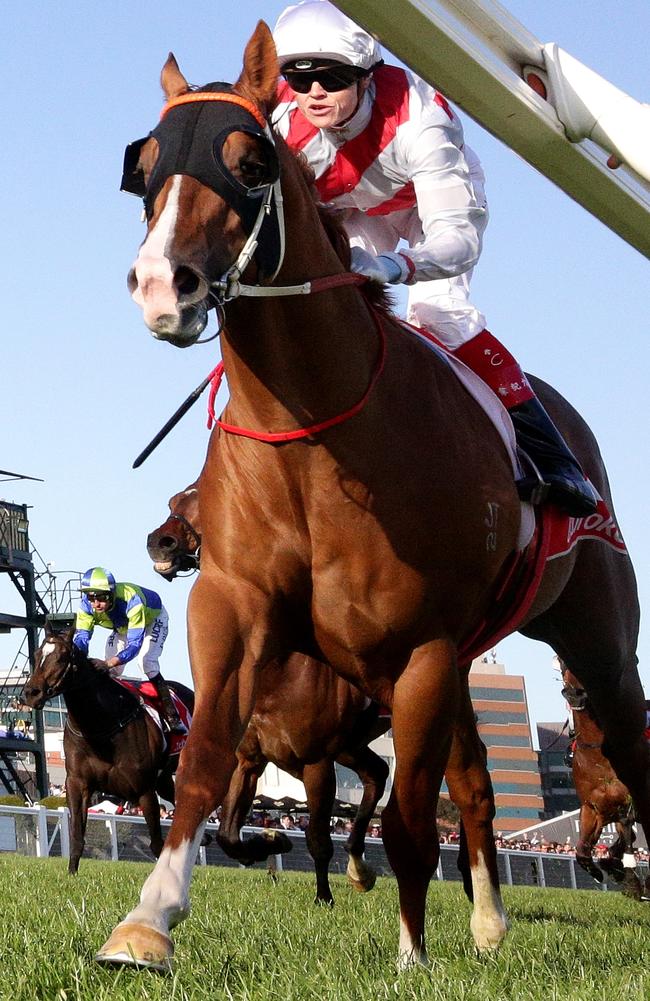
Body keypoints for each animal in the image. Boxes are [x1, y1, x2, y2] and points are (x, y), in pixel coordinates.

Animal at [22, 620, 192, 872]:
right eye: (36, 654)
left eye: (62, 657)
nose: (30, 693)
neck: (101, 725)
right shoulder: (77, 784)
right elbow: (77, 838)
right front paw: (72, 875)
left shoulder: (144, 790)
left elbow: (157, 845)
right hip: (163, 780)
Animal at [147, 480, 390, 904]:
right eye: (173, 502)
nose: (161, 541)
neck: (279, 674)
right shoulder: (250, 759)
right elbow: (229, 834)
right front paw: (270, 842)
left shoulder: (317, 762)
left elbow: (318, 838)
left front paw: (323, 898)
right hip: (350, 745)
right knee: (377, 773)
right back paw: (359, 866)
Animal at [556, 664, 644, 900]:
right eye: (563, 665)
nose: (575, 695)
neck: (598, 756)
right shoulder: (593, 808)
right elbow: (582, 851)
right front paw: (605, 869)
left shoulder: (627, 802)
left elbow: (627, 835)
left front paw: (631, 881)